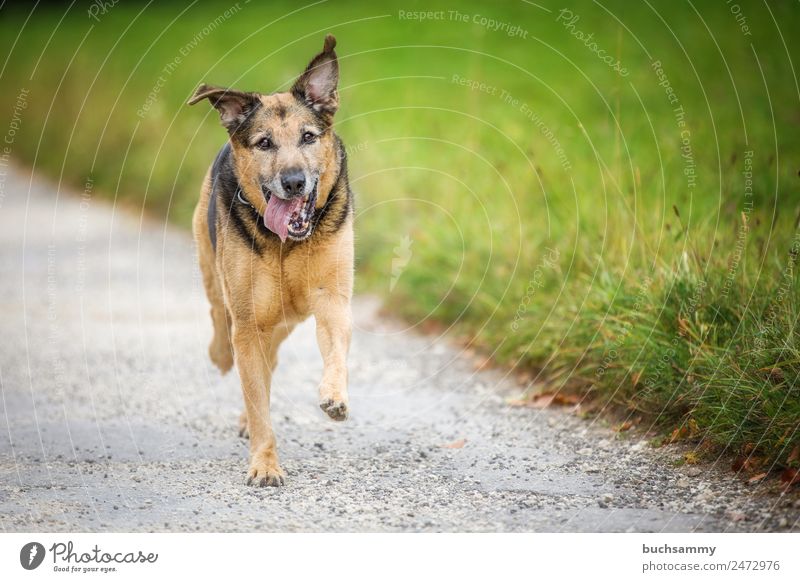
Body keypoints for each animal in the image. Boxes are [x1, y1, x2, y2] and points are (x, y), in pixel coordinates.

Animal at [189, 35, 352, 488]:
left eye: (309, 137)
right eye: (264, 143)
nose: (294, 182)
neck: (286, 244)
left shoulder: (331, 298)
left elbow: (335, 349)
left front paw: (334, 397)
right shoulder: (248, 322)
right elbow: (257, 397)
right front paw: (264, 464)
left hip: (286, 317)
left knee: (270, 359)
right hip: (216, 274)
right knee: (221, 321)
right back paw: (219, 355)